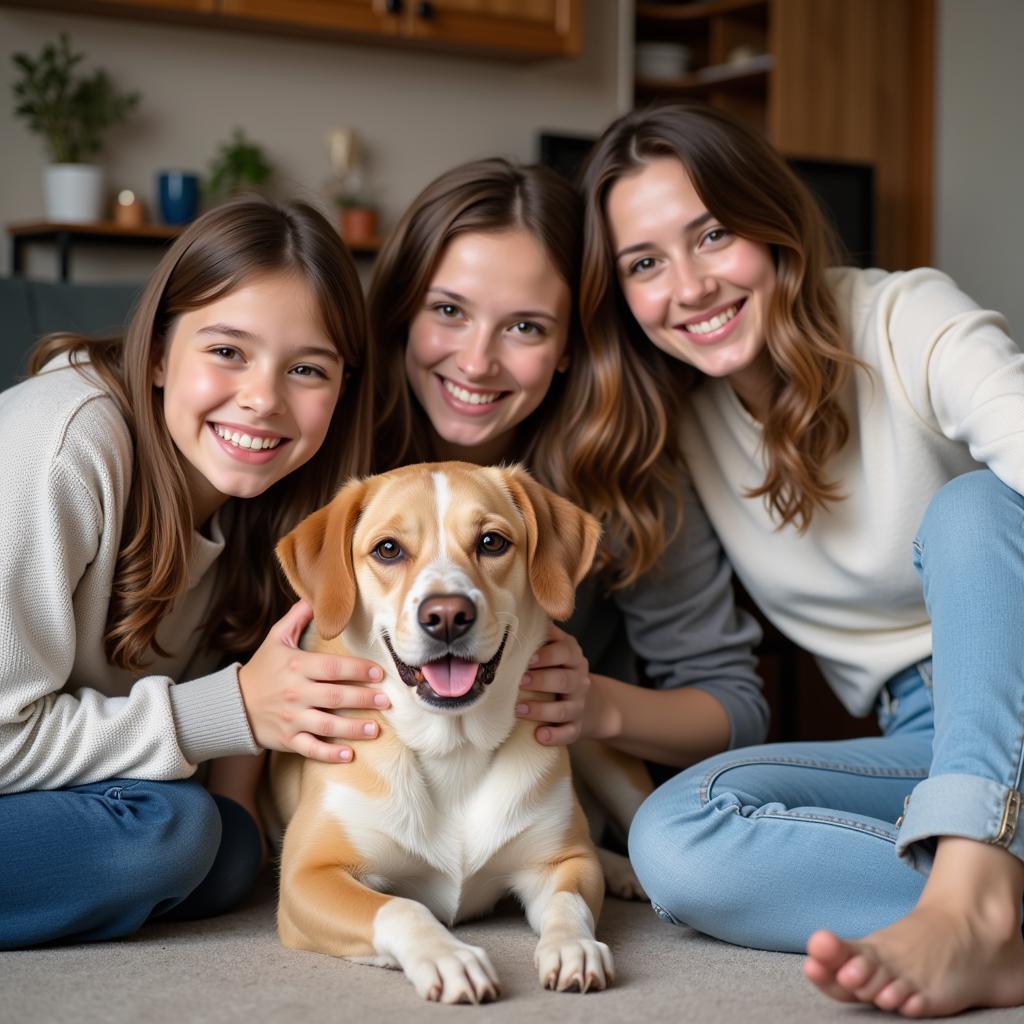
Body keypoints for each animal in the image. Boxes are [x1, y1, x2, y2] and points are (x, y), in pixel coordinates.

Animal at [266, 460, 647, 1003]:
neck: (453, 746)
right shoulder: (309, 876)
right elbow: (403, 907)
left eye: (491, 542)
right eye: (388, 549)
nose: (446, 615)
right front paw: (449, 957)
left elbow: (568, 904)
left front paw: (573, 946)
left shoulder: (561, 863)